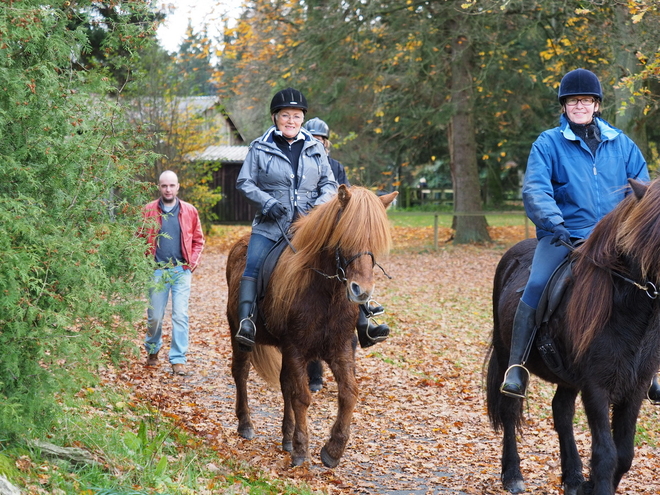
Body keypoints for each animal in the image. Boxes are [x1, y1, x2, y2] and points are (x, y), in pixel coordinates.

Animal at [226, 186, 398, 468]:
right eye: (345, 236)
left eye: (375, 241)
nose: (361, 291)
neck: (325, 293)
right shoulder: (296, 348)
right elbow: (302, 396)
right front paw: (301, 449)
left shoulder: (340, 349)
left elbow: (348, 393)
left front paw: (333, 449)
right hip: (238, 334)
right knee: (241, 373)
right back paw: (246, 424)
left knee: (284, 384)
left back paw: (286, 437)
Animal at [488, 179, 660, 495]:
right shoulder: (596, 387)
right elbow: (606, 454)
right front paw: (597, 487)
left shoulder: (636, 387)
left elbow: (624, 455)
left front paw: (588, 485)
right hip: (508, 355)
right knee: (510, 410)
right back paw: (513, 475)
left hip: (567, 377)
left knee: (562, 412)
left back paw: (573, 477)